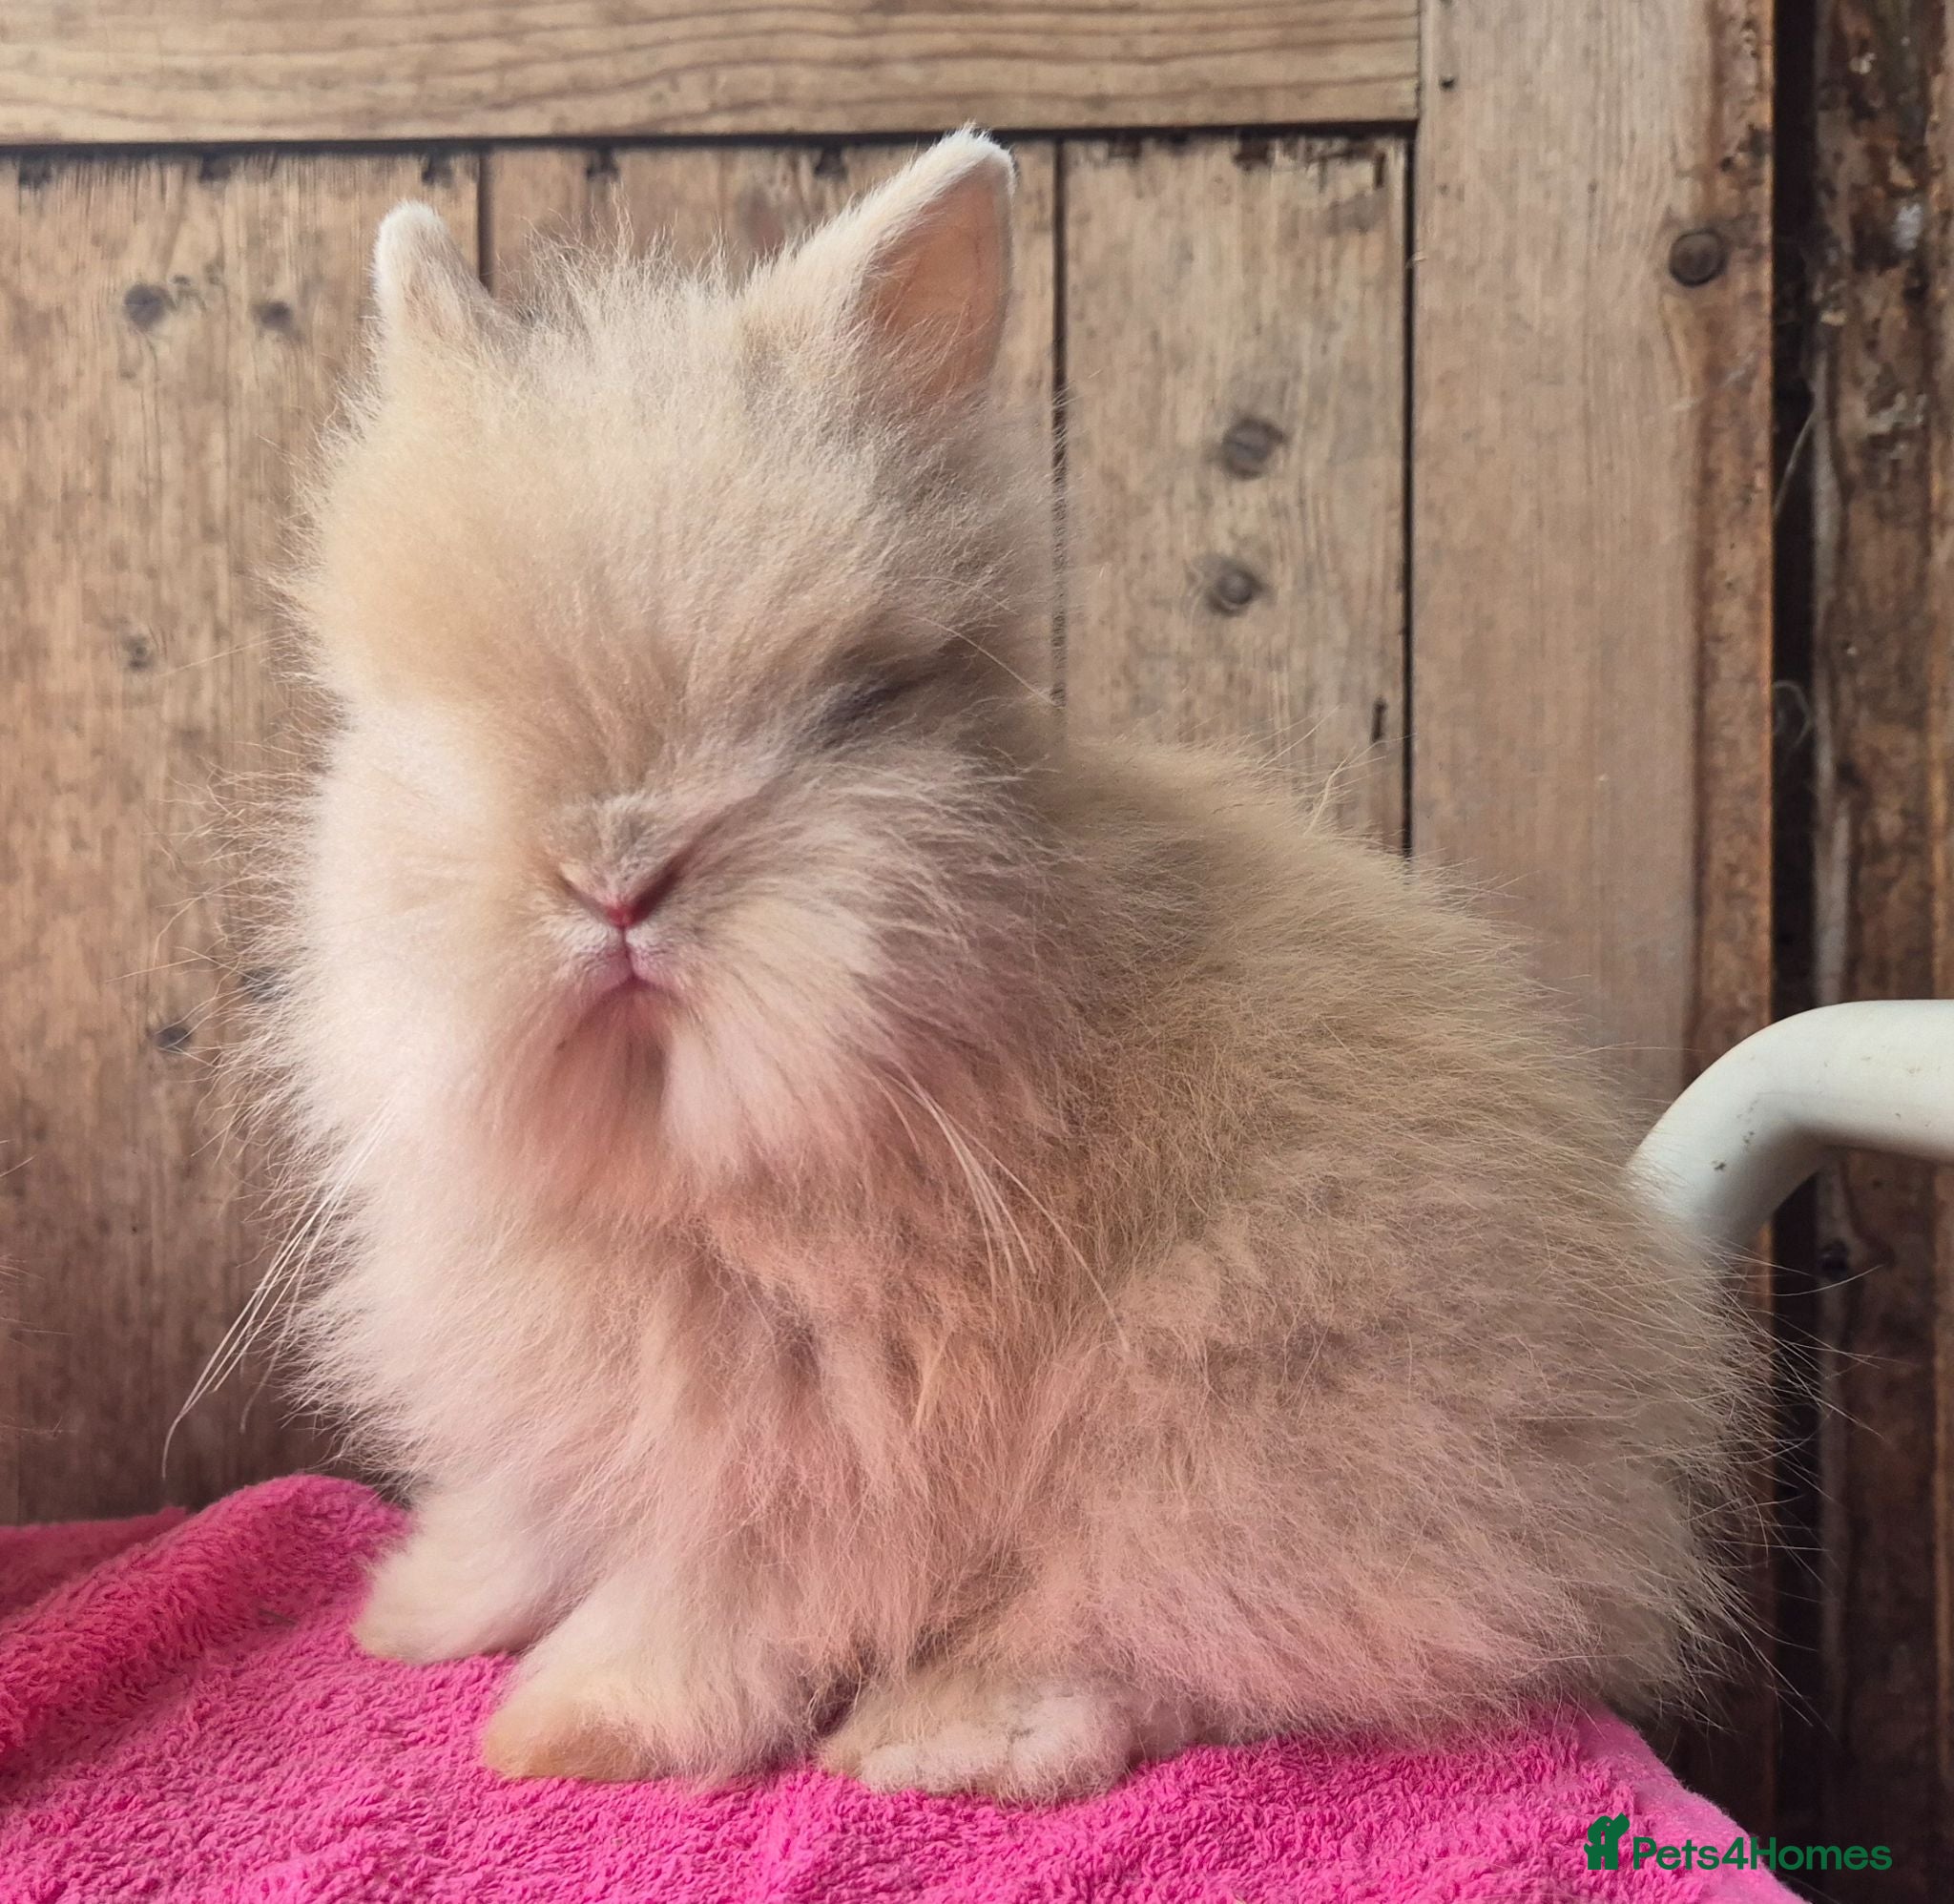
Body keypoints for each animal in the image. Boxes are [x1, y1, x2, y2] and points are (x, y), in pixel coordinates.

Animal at [267, 130, 1753, 1801]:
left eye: (855, 703)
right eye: (416, 719)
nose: (616, 874)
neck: (660, 1146)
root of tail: (1614, 1492)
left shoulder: (804, 1445)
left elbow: (704, 1598)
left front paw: (567, 1730)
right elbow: (535, 1519)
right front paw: (418, 1613)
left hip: (1243, 1421)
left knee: (1187, 1639)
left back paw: (936, 1738)